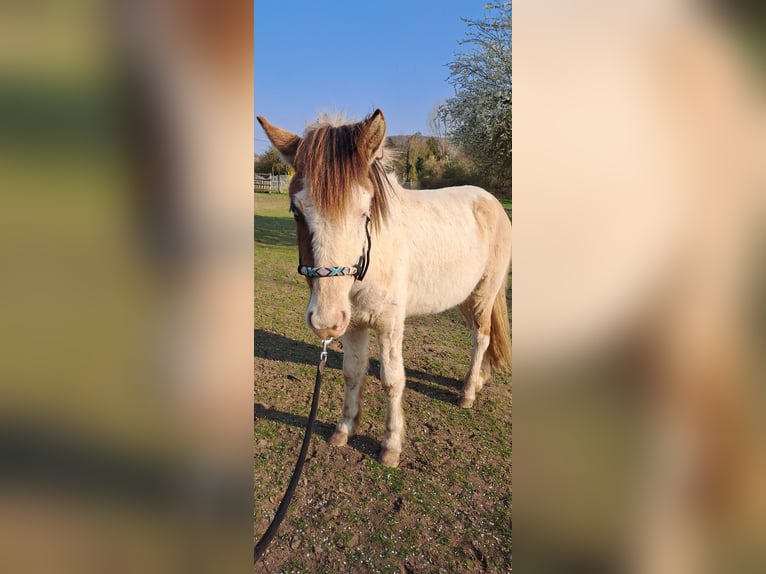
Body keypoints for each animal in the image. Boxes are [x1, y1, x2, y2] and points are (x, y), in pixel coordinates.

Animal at [257, 110, 512, 468]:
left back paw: (467, 393)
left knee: (482, 337)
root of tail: (492, 202)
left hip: (483, 294)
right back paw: (480, 378)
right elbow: (353, 373)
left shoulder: (390, 325)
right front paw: (344, 428)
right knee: (481, 336)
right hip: (464, 296)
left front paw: (391, 445)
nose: (325, 321)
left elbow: (392, 381)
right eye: (296, 210)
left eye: (365, 212)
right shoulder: (353, 323)